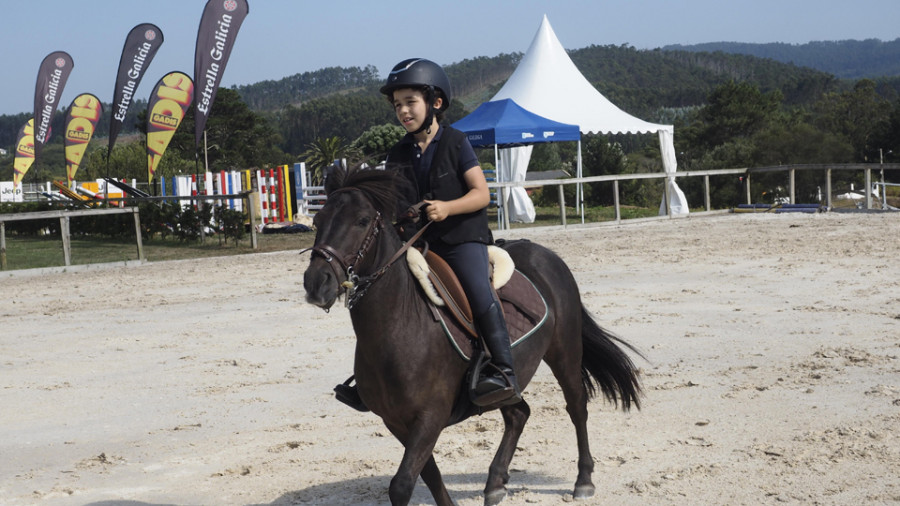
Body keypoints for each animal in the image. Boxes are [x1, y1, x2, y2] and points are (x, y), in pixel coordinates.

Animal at [306, 164, 644, 504]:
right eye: (317, 221)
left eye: (362, 221)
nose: (316, 283)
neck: (398, 327)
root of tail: (545, 254)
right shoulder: (396, 421)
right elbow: (430, 475)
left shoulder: (430, 416)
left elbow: (402, 484)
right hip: (507, 383)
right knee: (519, 413)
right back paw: (495, 482)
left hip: (564, 352)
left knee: (576, 406)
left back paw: (583, 479)